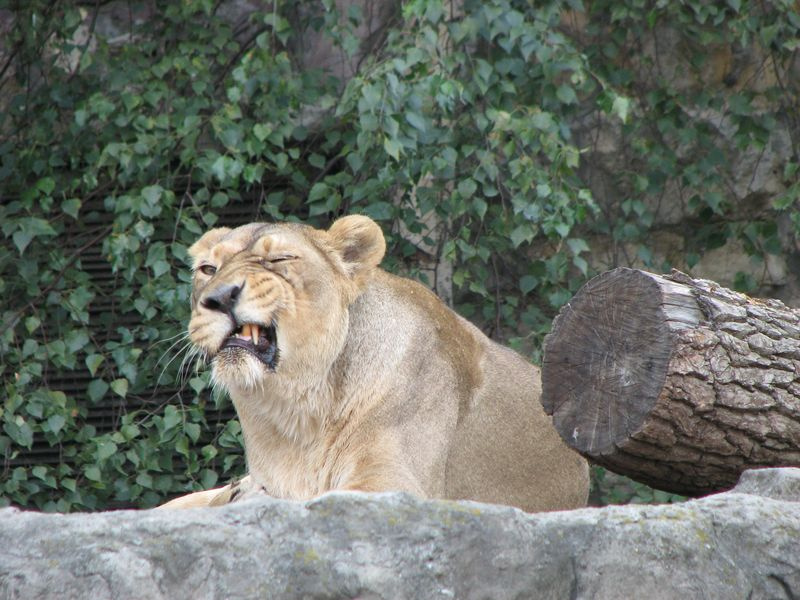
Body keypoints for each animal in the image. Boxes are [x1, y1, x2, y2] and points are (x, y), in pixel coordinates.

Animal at [158, 215, 589, 512]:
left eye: (278, 259)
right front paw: (238, 494)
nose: (219, 297)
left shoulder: (395, 485)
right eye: (208, 269)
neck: (298, 411)